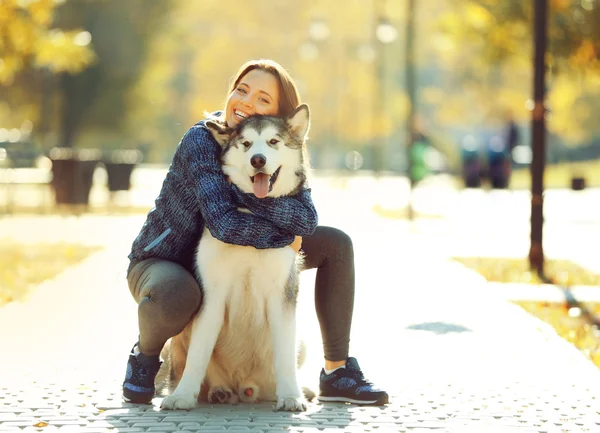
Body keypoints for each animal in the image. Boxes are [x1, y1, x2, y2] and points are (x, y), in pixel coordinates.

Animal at [162, 104, 312, 412]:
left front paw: (291, 396)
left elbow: (284, 356)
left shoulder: (282, 295)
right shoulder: (212, 294)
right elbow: (198, 355)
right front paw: (182, 396)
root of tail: (246, 387)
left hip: (302, 338)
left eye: (273, 141)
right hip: (180, 334)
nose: (257, 160)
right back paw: (218, 391)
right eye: (246, 144)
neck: (253, 223)